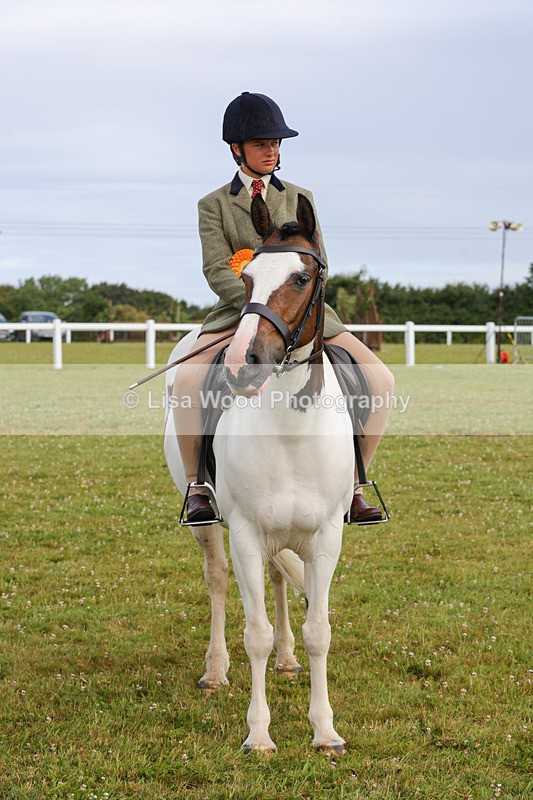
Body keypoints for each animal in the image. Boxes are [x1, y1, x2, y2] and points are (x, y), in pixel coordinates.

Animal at [164, 193, 354, 753]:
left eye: (302, 278)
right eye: (245, 277)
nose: (242, 363)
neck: (291, 428)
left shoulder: (326, 535)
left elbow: (318, 631)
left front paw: (325, 730)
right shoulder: (246, 533)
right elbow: (256, 634)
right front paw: (259, 735)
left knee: (277, 582)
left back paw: (289, 662)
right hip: (213, 526)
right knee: (218, 580)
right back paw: (215, 672)